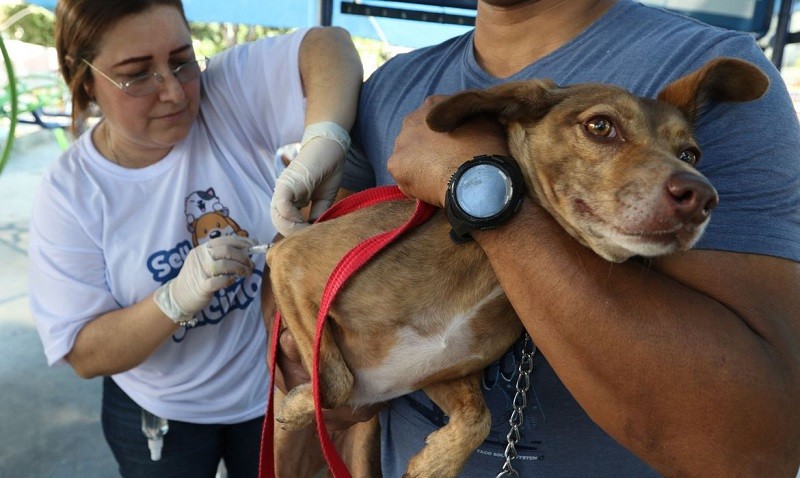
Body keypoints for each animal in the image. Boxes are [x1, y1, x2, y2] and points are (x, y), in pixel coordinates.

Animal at [268, 58, 768, 476]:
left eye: (691, 155)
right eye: (600, 126)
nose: (701, 197)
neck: (483, 267)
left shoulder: (435, 369)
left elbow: (478, 418)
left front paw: (435, 463)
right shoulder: (289, 260)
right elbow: (336, 383)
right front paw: (299, 403)